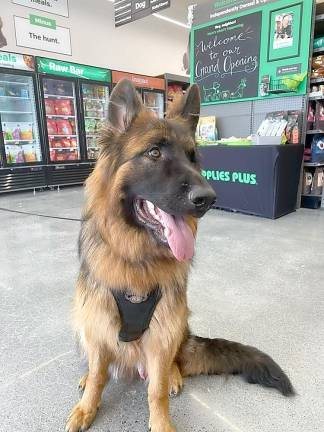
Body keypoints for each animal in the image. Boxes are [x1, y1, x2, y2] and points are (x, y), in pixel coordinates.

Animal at [66, 79, 294, 430]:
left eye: (192, 157)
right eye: (154, 152)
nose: (208, 198)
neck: (137, 258)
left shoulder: (162, 332)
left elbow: (156, 390)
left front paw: (161, 421)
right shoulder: (99, 325)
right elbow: (97, 376)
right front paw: (86, 407)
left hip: (178, 323)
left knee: (172, 361)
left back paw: (174, 374)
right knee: (97, 368)